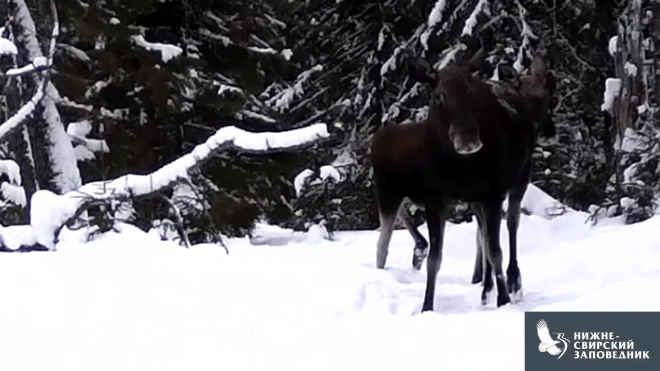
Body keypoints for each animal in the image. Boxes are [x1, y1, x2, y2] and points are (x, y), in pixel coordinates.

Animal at [372, 48, 556, 312]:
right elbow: (436, 259)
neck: (461, 167)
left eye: (472, 93)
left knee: (511, 224)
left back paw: (512, 281)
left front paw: (503, 299)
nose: (468, 140)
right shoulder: (436, 200)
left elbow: (495, 250)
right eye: (439, 96)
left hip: (518, 180)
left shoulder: (491, 195)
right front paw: (427, 306)